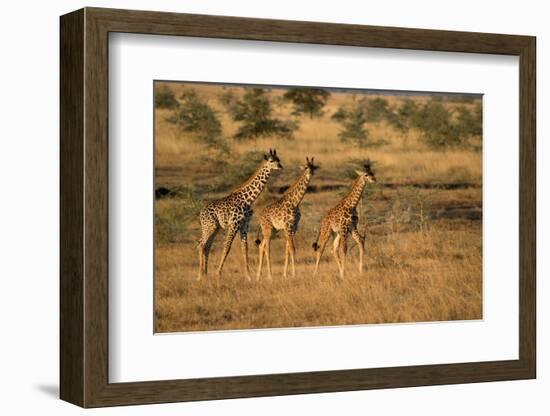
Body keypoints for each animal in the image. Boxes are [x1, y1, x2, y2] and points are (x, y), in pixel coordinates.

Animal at [198, 150, 284, 282]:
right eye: (271, 161)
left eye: (278, 159)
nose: (280, 166)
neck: (248, 199)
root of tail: (201, 213)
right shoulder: (234, 224)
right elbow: (227, 247)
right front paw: (218, 274)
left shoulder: (244, 224)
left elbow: (245, 248)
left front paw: (248, 276)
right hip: (210, 227)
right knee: (201, 245)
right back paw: (200, 276)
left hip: (214, 228)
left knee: (205, 246)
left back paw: (205, 275)